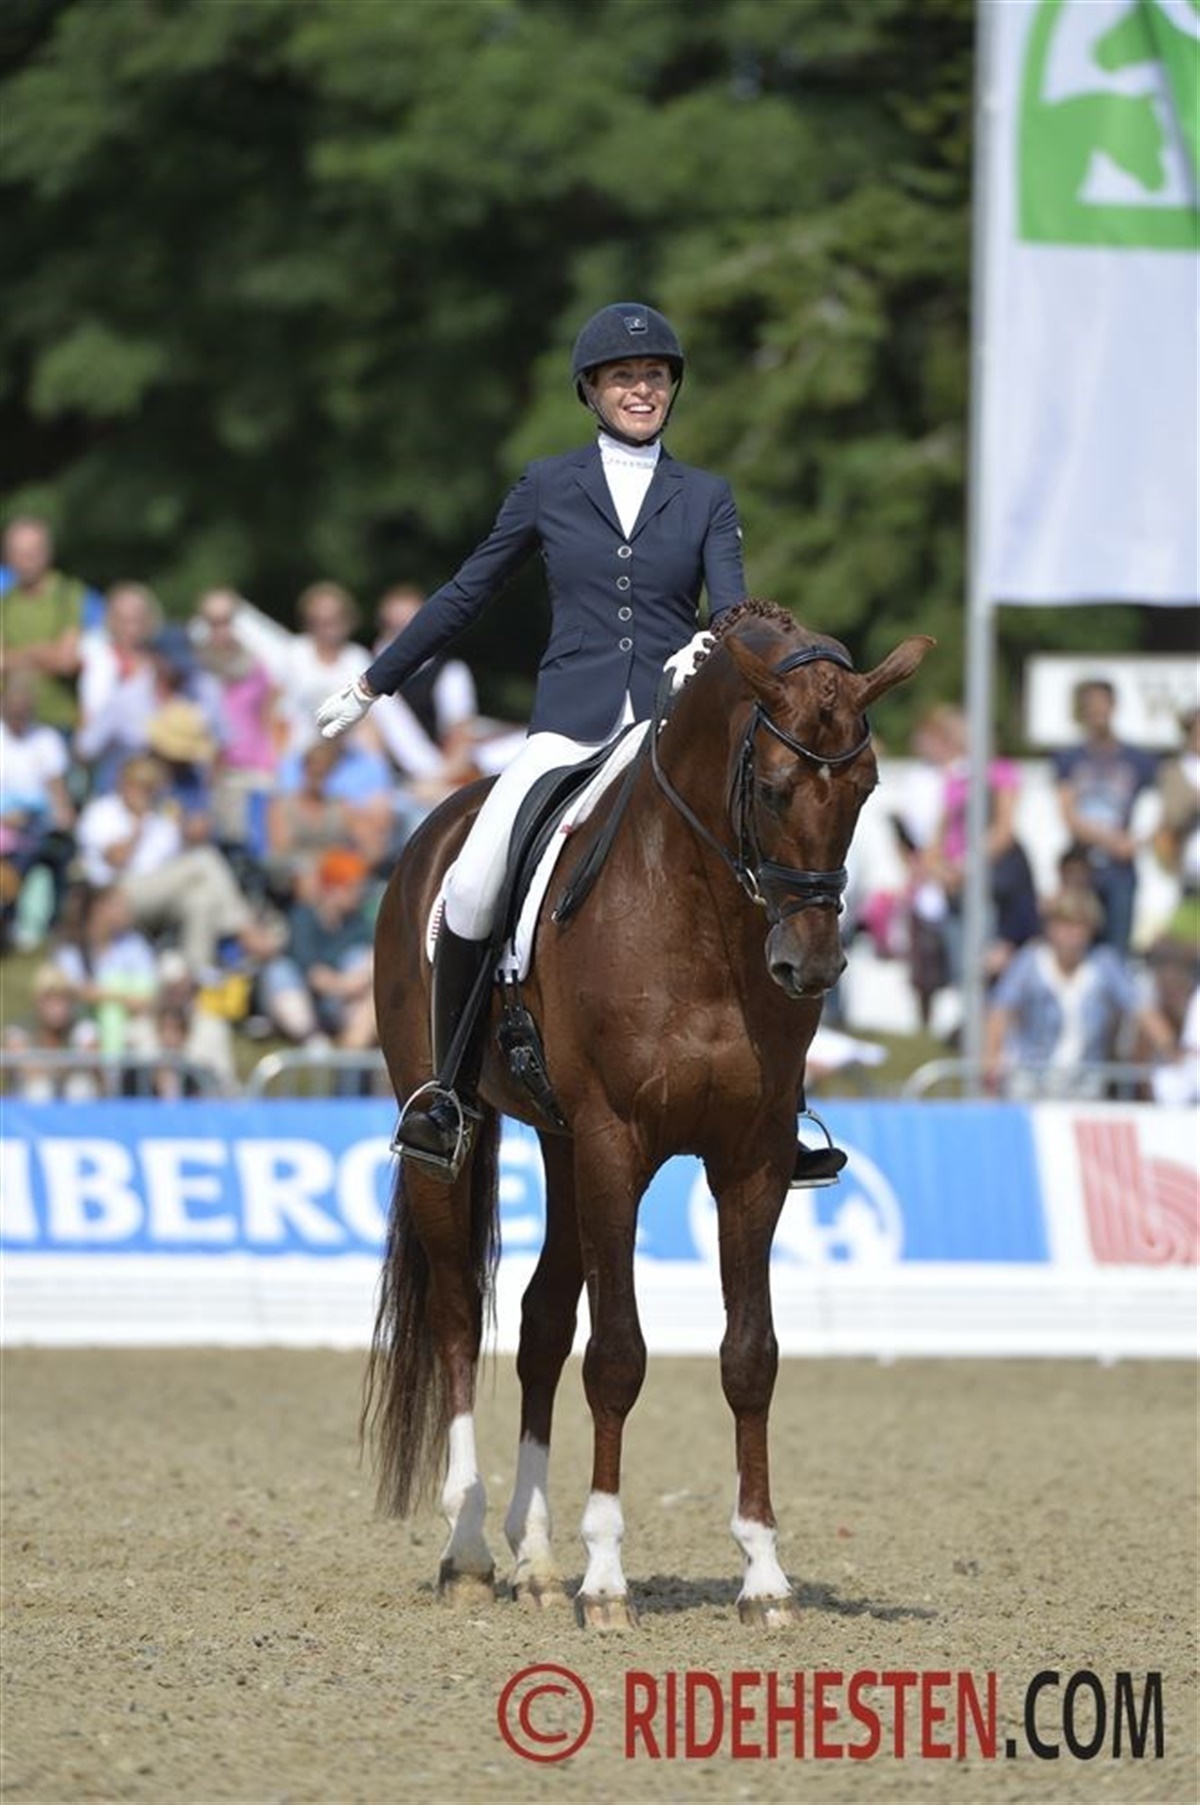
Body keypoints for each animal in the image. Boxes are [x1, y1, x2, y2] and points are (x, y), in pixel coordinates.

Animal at [366, 598, 933, 1629]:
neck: (701, 909)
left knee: (542, 1322)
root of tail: (437, 826)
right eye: (775, 787)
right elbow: (619, 1356)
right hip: (455, 1130)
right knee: (461, 1315)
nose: (812, 966)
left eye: (867, 788)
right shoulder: (615, 1144)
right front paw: (607, 1578)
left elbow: (749, 1355)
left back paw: (536, 1560)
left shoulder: (749, 1159)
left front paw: (764, 1575)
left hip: (557, 1143)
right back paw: (471, 1549)